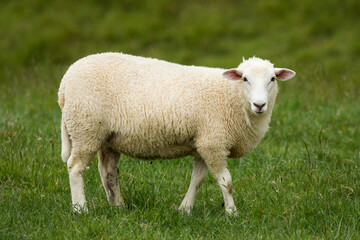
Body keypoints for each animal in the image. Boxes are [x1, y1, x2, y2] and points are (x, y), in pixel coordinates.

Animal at [58, 52, 296, 214]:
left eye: (272, 79)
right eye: (245, 79)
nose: (260, 105)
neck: (231, 96)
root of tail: (64, 83)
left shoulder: (203, 144)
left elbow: (197, 180)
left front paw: (185, 209)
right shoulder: (213, 142)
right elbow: (226, 182)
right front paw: (232, 213)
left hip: (108, 137)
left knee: (107, 172)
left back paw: (118, 207)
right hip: (86, 128)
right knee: (75, 167)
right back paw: (80, 209)